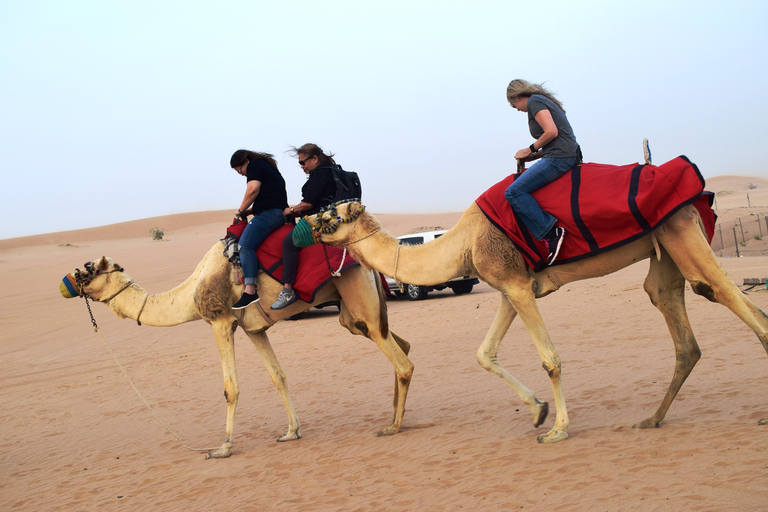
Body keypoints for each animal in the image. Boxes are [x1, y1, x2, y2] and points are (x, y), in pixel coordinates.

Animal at [60, 241, 414, 460]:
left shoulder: (220, 321)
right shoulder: (254, 329)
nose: (64, 284)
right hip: (350, 313)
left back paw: (393, 426)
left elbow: (230, 388)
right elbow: (278, 376)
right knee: (400, 344)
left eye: (87, 270)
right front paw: (291, 432)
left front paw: (223, 448)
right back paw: (397, 415)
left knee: (400, 360)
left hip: (355, 294)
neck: (190, 294)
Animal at [308, 200, 768, 444]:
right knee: (681, 328)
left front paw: (558, 429)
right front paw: (538, 410)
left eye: (331, 215)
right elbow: (484, 353)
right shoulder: (512, 289)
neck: (462, 243)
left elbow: (550, 357)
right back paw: (651, 419)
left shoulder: (516, 285)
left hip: (681, 232)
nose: (305, 223)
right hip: (665, 253)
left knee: (731, 298)